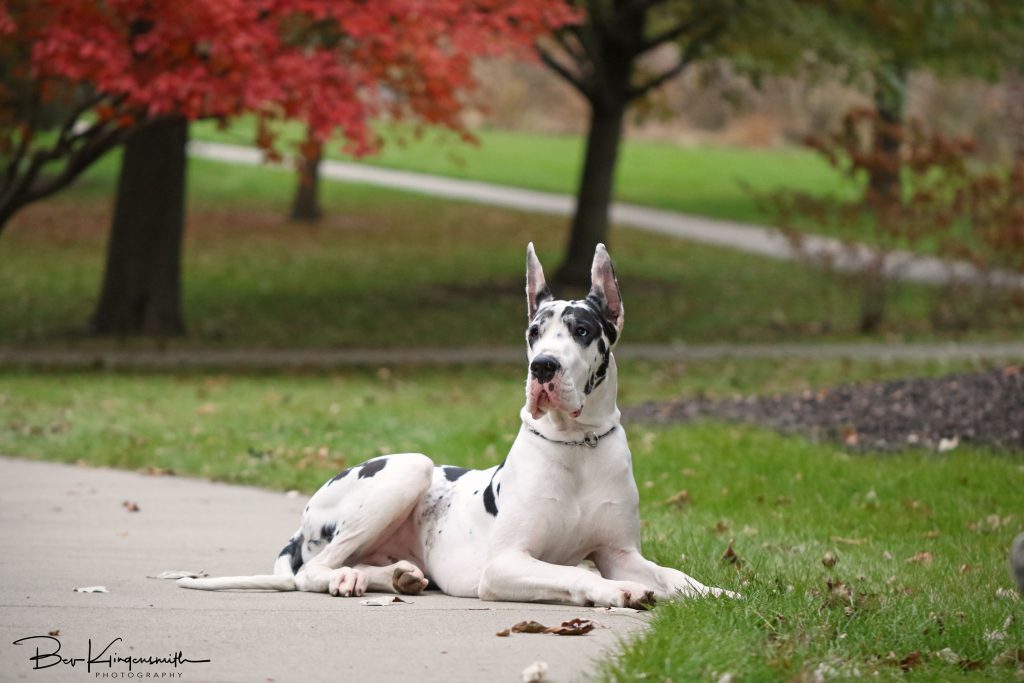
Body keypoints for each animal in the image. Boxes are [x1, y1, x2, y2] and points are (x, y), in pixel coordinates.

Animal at [180, 242, 733, 606]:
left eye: (581, 330)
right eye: (534, 333)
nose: (543, 368)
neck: (577, 446)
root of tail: (301, 523)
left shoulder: (620, 551)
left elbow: (672, 573)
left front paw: (716, 591)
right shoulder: (505, 565)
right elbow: (578, 575)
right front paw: (614, 590)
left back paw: (391, 577)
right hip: (407, 468)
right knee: (313, 569)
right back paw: (346, 579)